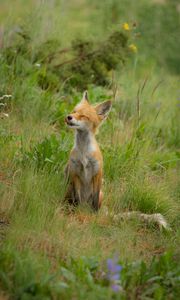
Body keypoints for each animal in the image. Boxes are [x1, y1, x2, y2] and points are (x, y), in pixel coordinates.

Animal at [64, 91, 169, 230]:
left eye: (83, 116)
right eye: (74, 111)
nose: (68, 117)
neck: (84, 153)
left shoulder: (98, 173)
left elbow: (95, 204)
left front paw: (94, 218)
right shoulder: (74, 172)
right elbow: (77, 199)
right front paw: (77, 214)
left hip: (101, 193)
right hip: (69, 189)